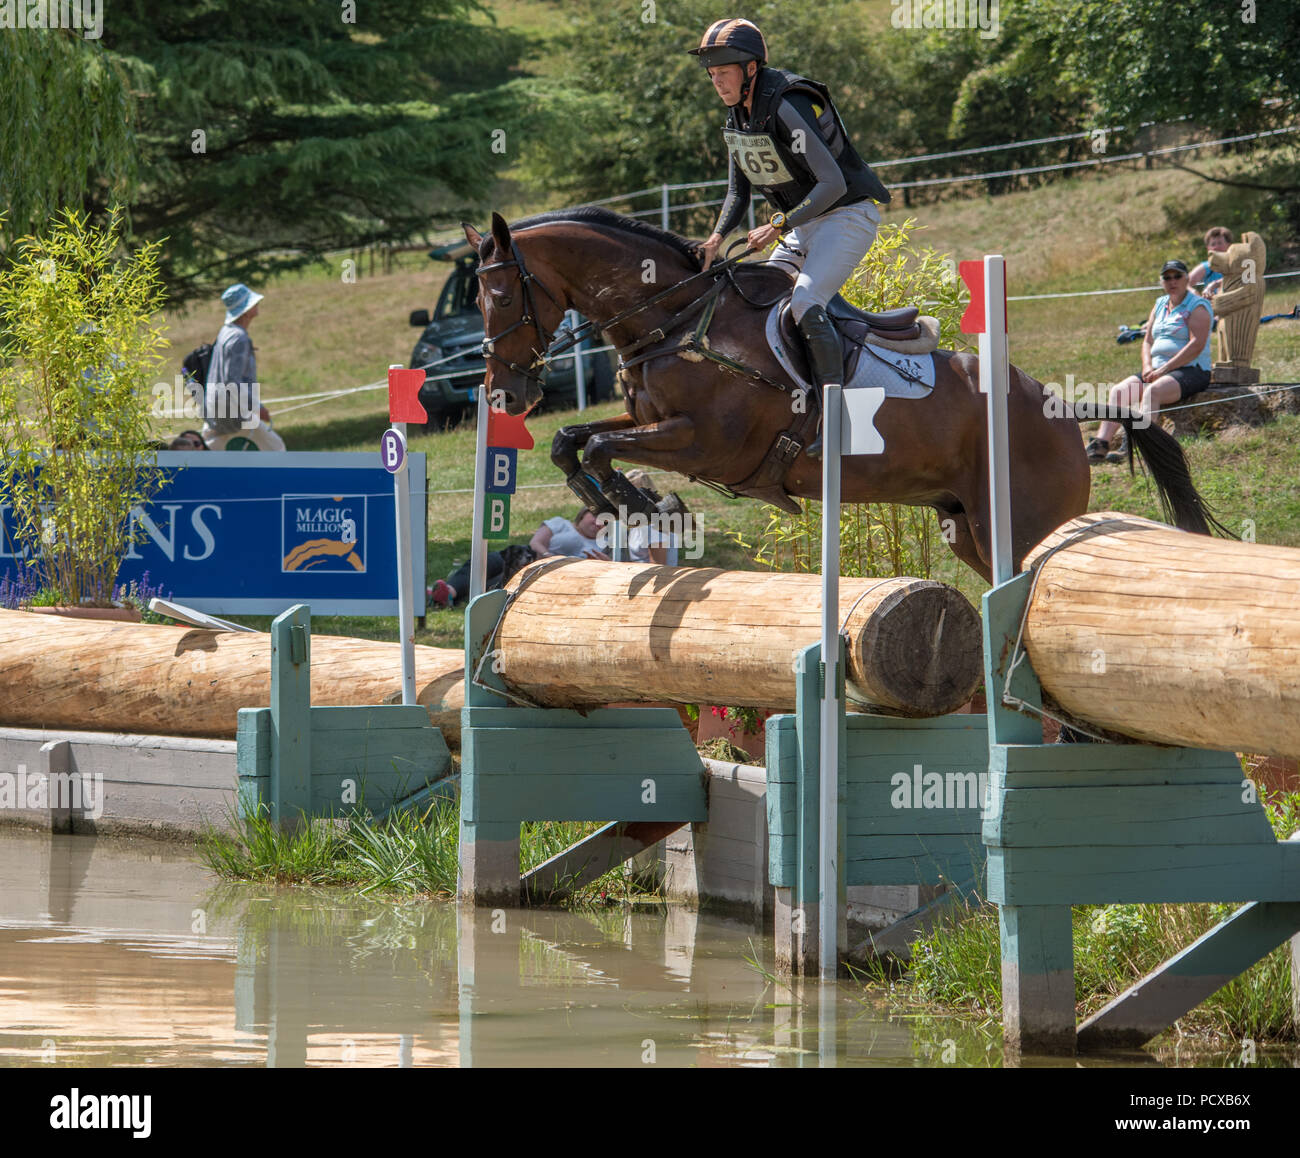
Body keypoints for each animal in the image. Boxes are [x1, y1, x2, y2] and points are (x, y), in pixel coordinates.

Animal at [465, 206, 1216, 579]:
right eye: (475, 299)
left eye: (498, 296)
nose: (502, 394)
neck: (674, 319)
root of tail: (1066, 410)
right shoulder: (649, 423)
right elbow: (573, 441)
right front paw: (621, 503)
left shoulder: (707, 444)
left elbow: (598, 450)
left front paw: (644, 504)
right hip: (966, 528)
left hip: (1023, 526)